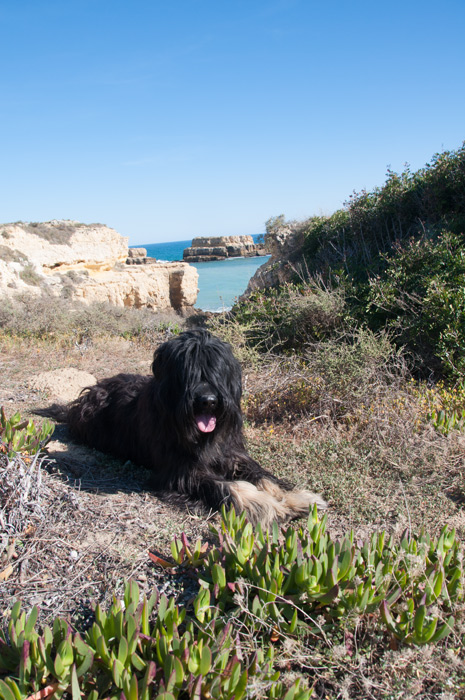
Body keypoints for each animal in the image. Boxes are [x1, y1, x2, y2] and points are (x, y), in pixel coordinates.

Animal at [62, 330, 322, 524]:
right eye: (188, 372)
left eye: (217, 372)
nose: (208, 401)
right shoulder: (180, 470)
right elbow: (229, 486)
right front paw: (268, 505)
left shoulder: (232, 453)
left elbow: (263, 476)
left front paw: (295, 497)